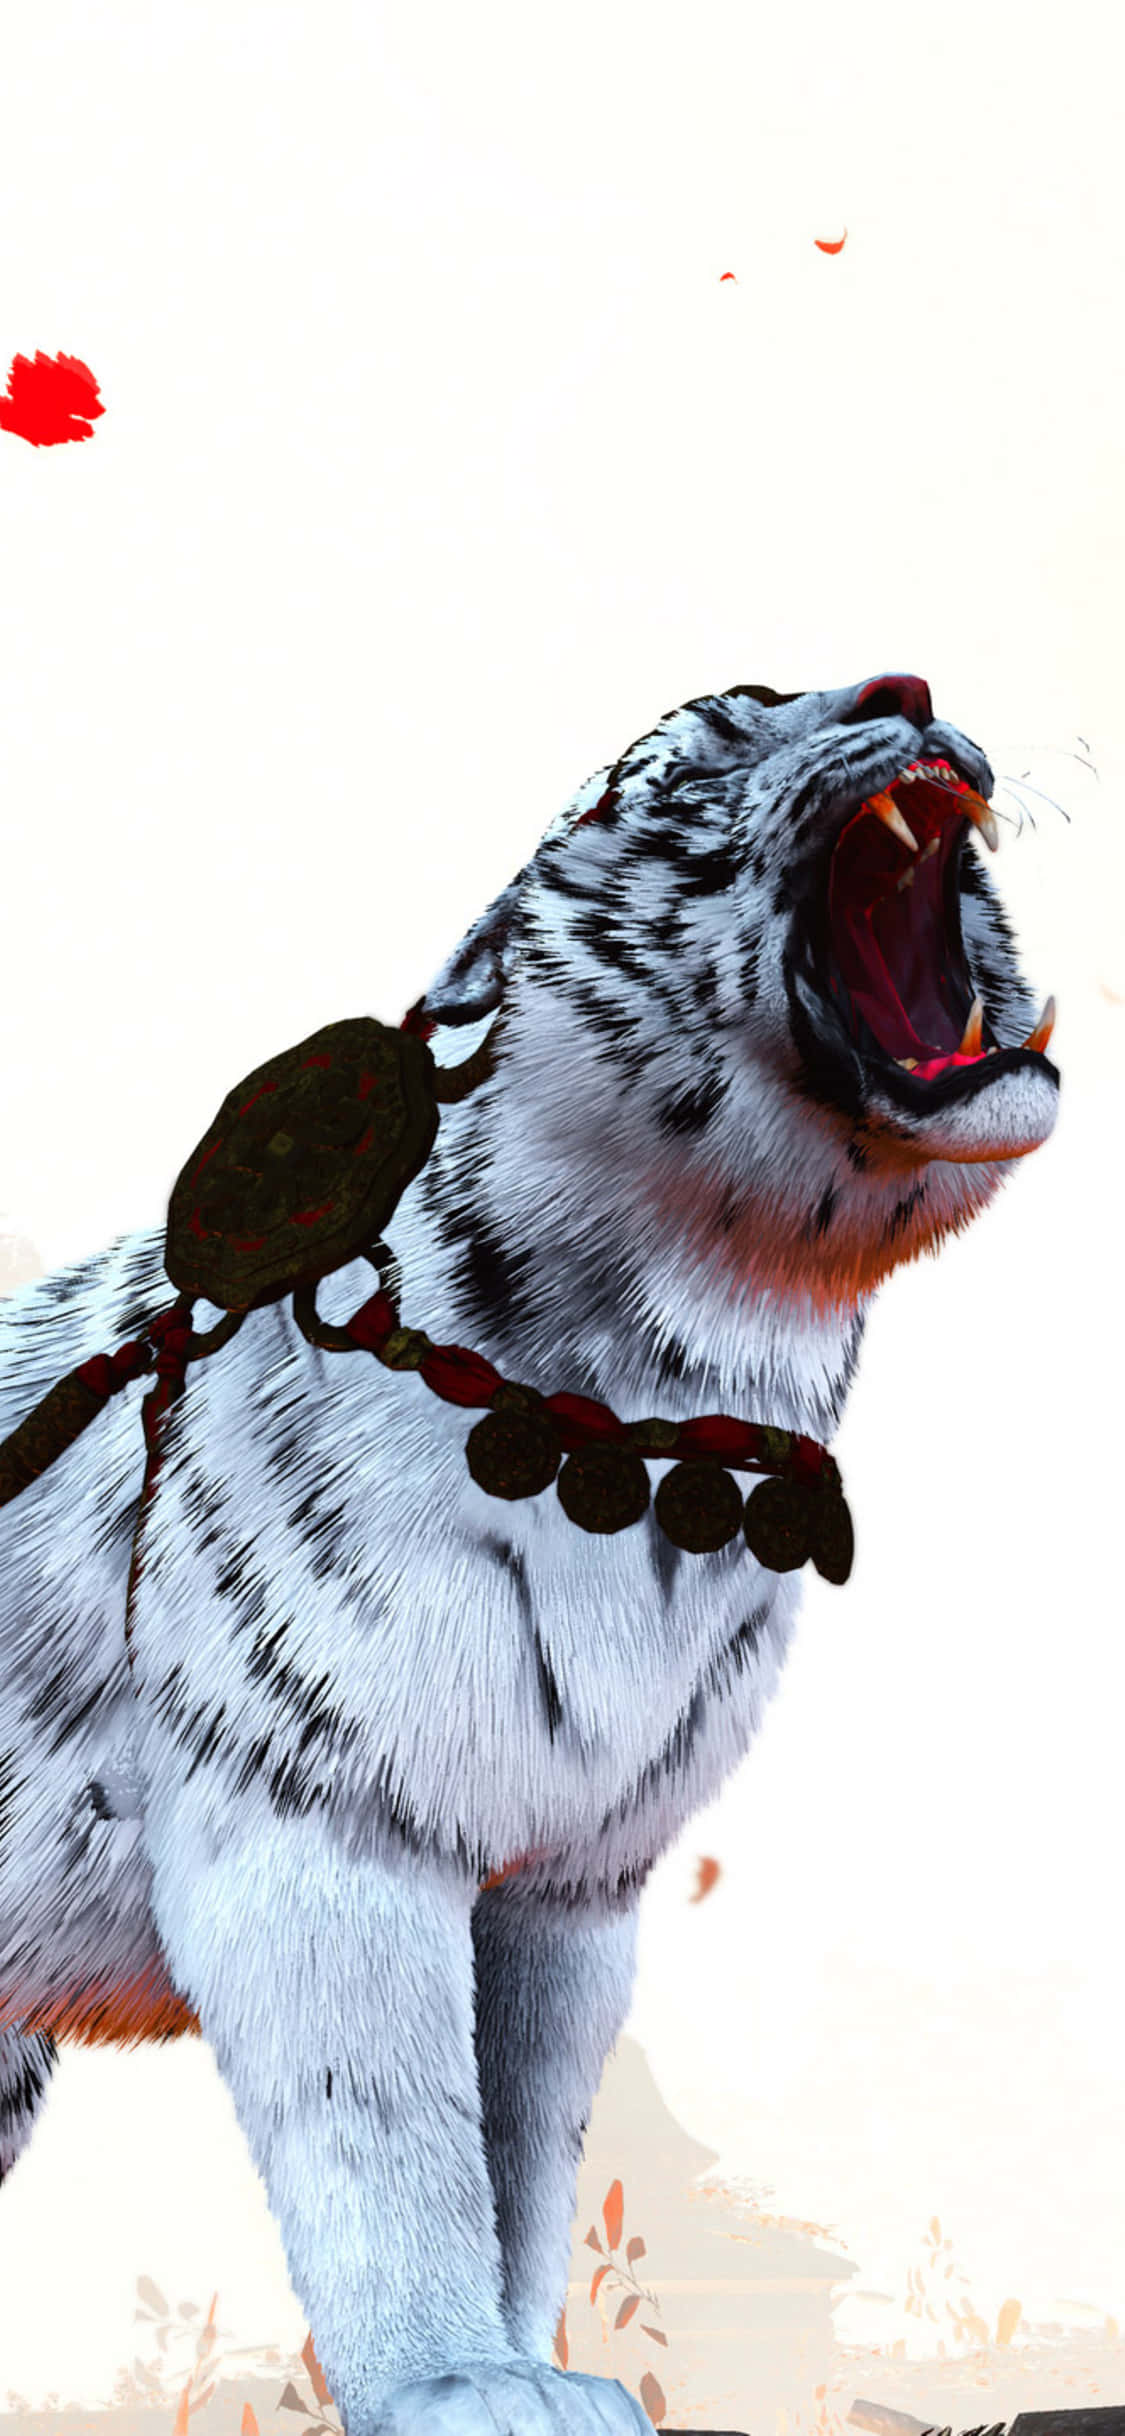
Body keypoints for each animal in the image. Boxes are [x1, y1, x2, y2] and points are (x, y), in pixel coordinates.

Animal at [0, 672, 1057, 2436]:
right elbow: (391, 2128)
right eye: (676, 752)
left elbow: (527, 2141)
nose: (905, 690)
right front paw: (452, 2384)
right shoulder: (317, 1815)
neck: (675, 1409)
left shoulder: (575, 1877)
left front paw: (538, 2370)